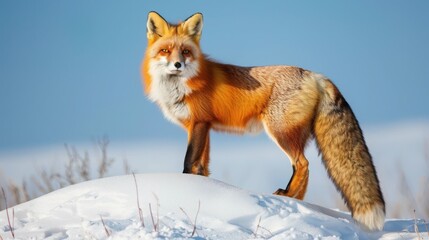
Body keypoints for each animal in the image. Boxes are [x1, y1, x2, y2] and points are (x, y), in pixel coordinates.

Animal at [141, 11, 384, 231]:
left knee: (302, 164)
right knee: (304, 169)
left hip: (280, 132)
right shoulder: (205, 126)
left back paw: (286, 195)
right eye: (165, 51)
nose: (177, 65)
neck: (180, 86)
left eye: (185, 52)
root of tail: (315, 75)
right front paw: (204, 188)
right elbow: (202, 166)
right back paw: (296, 201)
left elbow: (188, 162)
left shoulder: (199, 123)